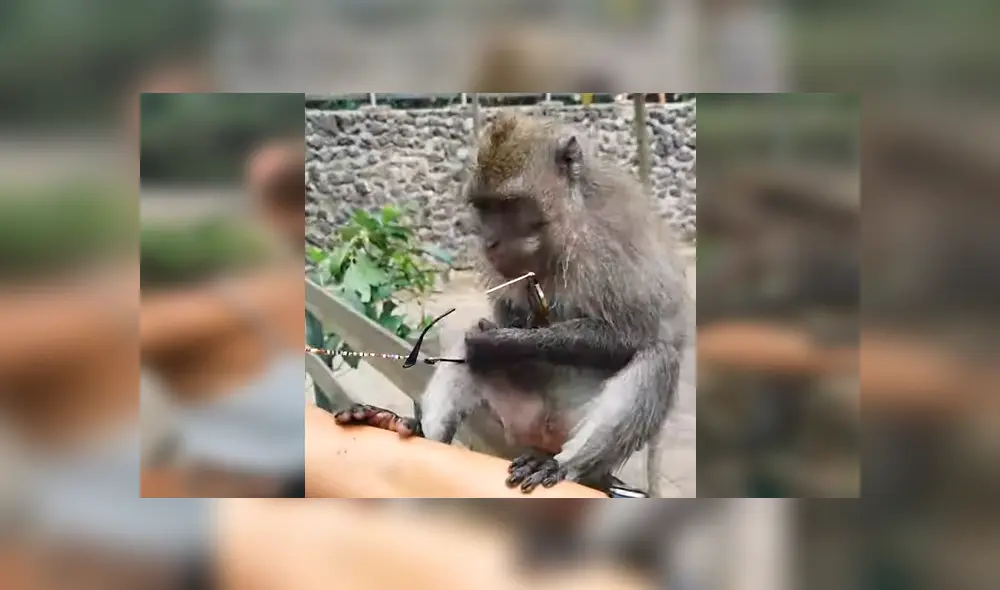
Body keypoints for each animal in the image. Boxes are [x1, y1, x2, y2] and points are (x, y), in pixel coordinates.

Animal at [335, 112, 690, 495]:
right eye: (485, 207)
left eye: (509, 205)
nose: (488, 241)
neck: (563, 229)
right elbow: (496, 320)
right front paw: (502, 335)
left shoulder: (613, 239)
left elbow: (637, 332)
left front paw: (504, 341)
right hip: (512, 426)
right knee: (465, 349)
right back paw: (414, 429)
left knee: (658, 358)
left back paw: (563, 464)